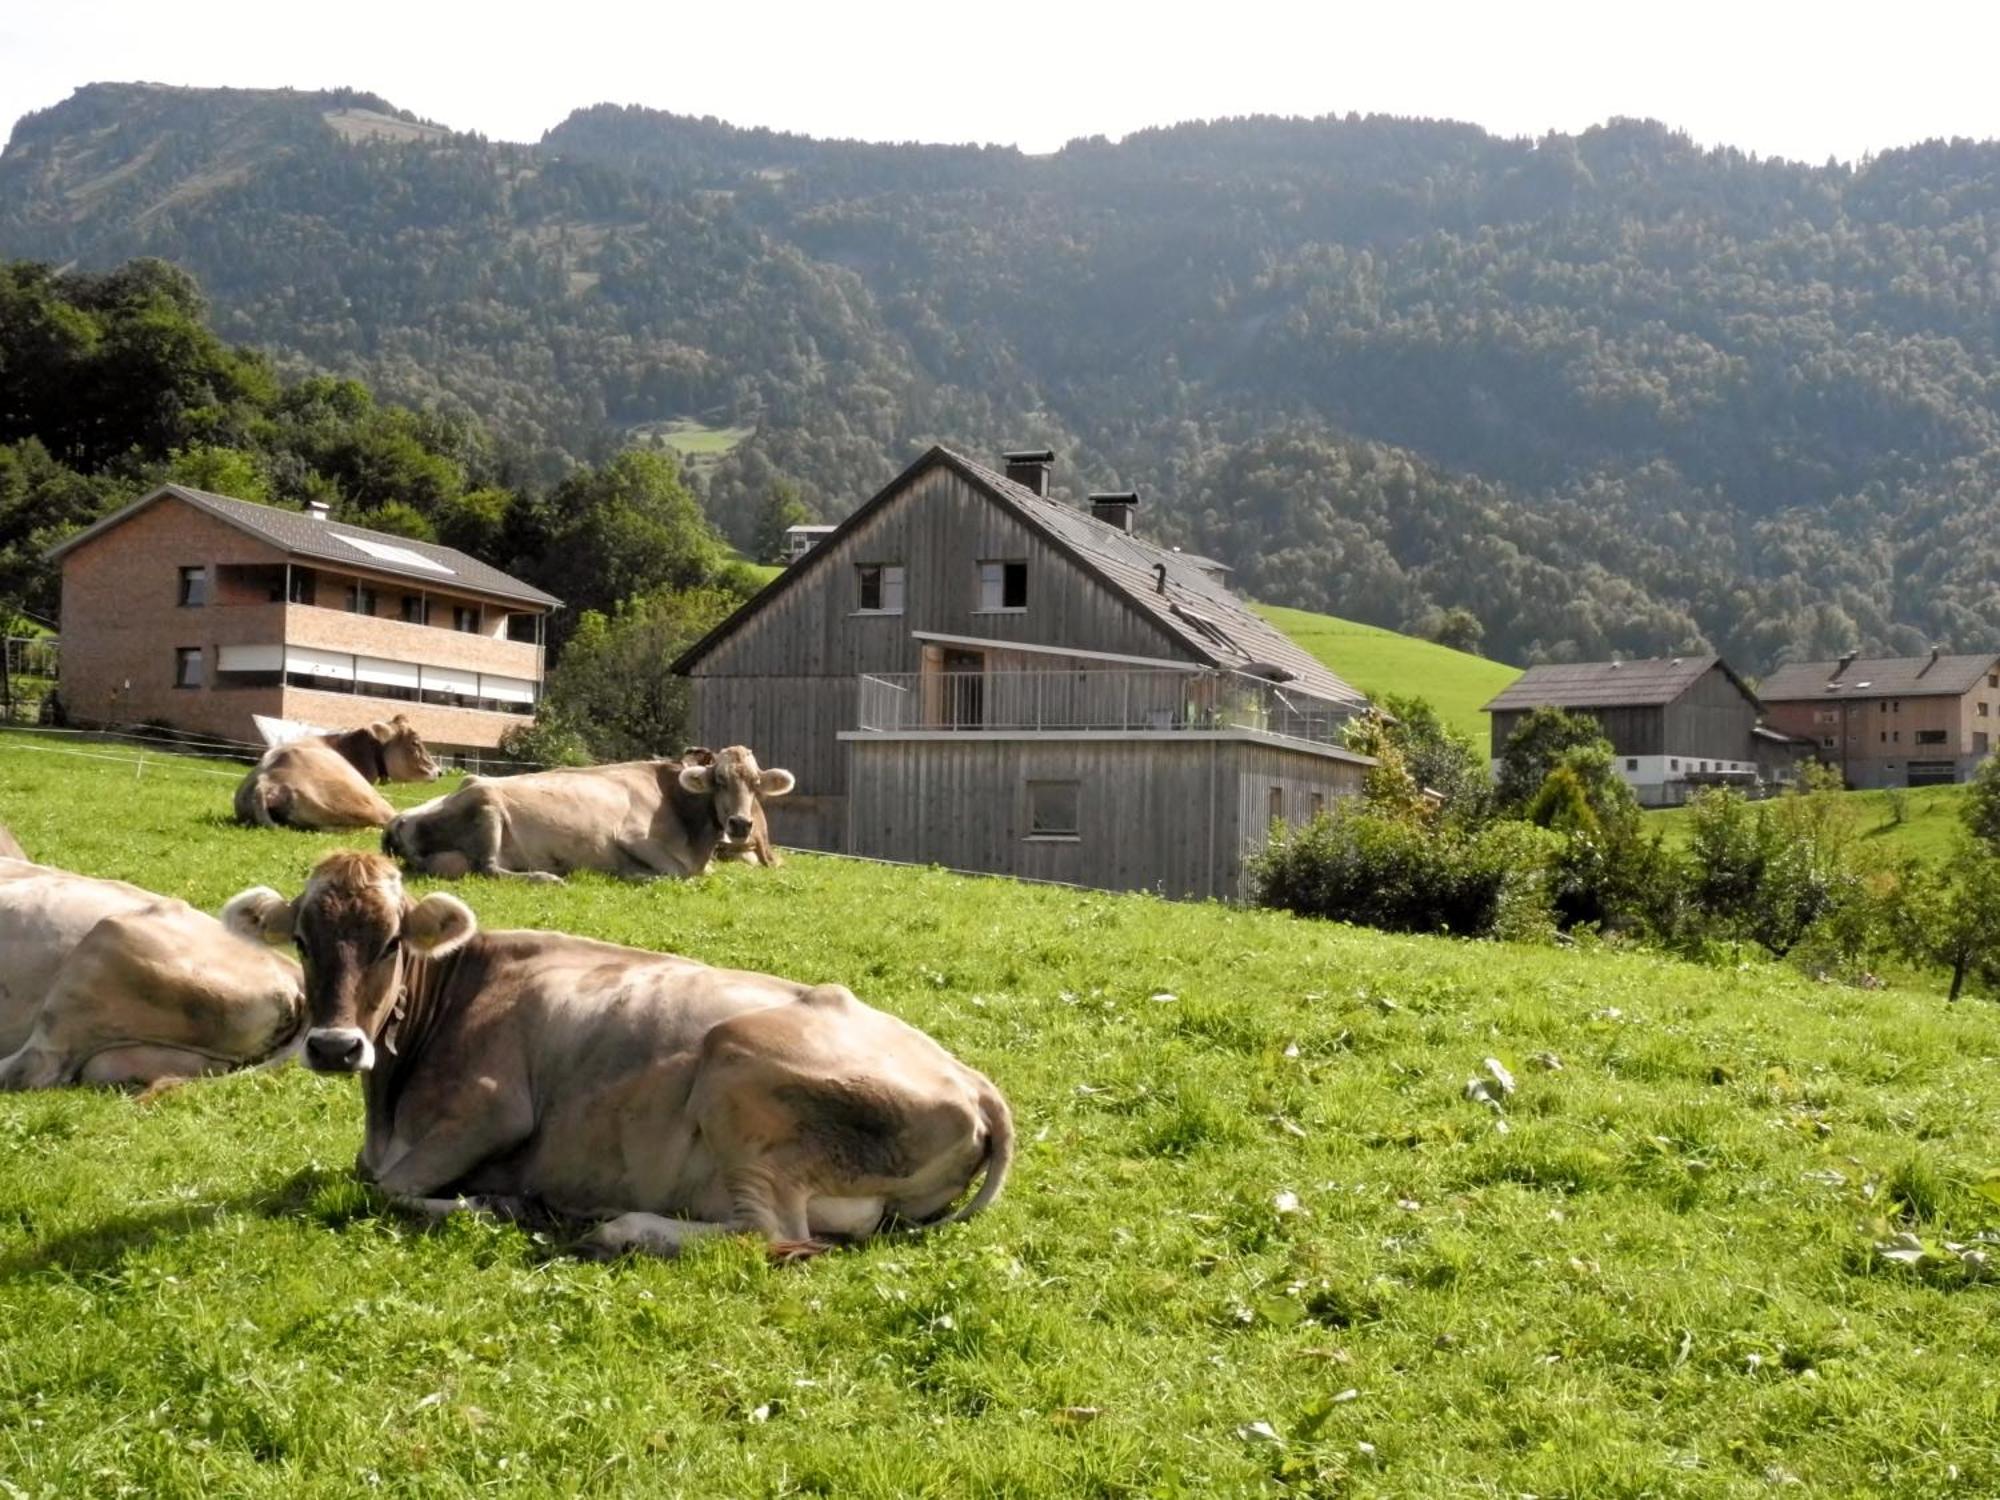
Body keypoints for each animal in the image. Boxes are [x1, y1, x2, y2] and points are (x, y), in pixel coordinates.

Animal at [229, 852, 1016, 1264]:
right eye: (301, 939)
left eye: (392, 942)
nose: (335, 1046)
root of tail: (978, 1084)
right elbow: (361, 1176)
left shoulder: (491, 1108)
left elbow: (382, 1188)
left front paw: (494, 1202)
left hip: (735, 1066)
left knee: (772, 1235)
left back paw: (617, 1228)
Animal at [382, 748, 796, 888]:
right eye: (719, 780)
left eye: (756, 784)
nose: (741, 824)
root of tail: (398, 819)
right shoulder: (630, 836)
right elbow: (678, 874)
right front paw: (633, 874)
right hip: (487, 803)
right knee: (489, 867)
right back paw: (548, 878)